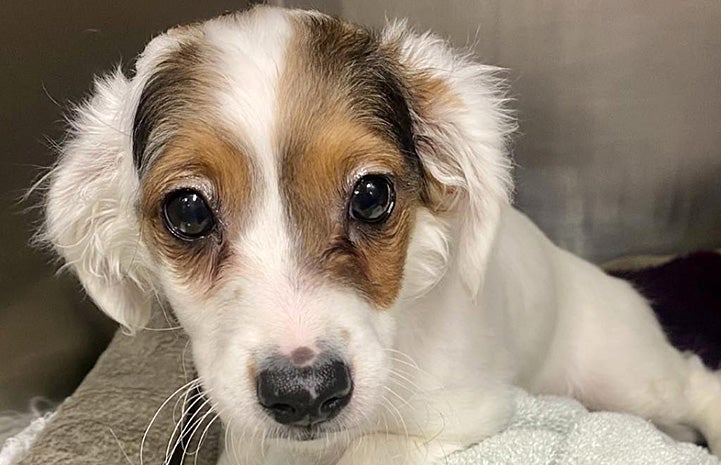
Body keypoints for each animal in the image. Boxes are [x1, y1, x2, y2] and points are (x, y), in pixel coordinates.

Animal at [40, 5, 720, 462]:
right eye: (188, 212)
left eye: (371, 195)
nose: (306, 394)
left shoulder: (464, 415)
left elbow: (372, 451)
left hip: (625, 376)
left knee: (695, 381)